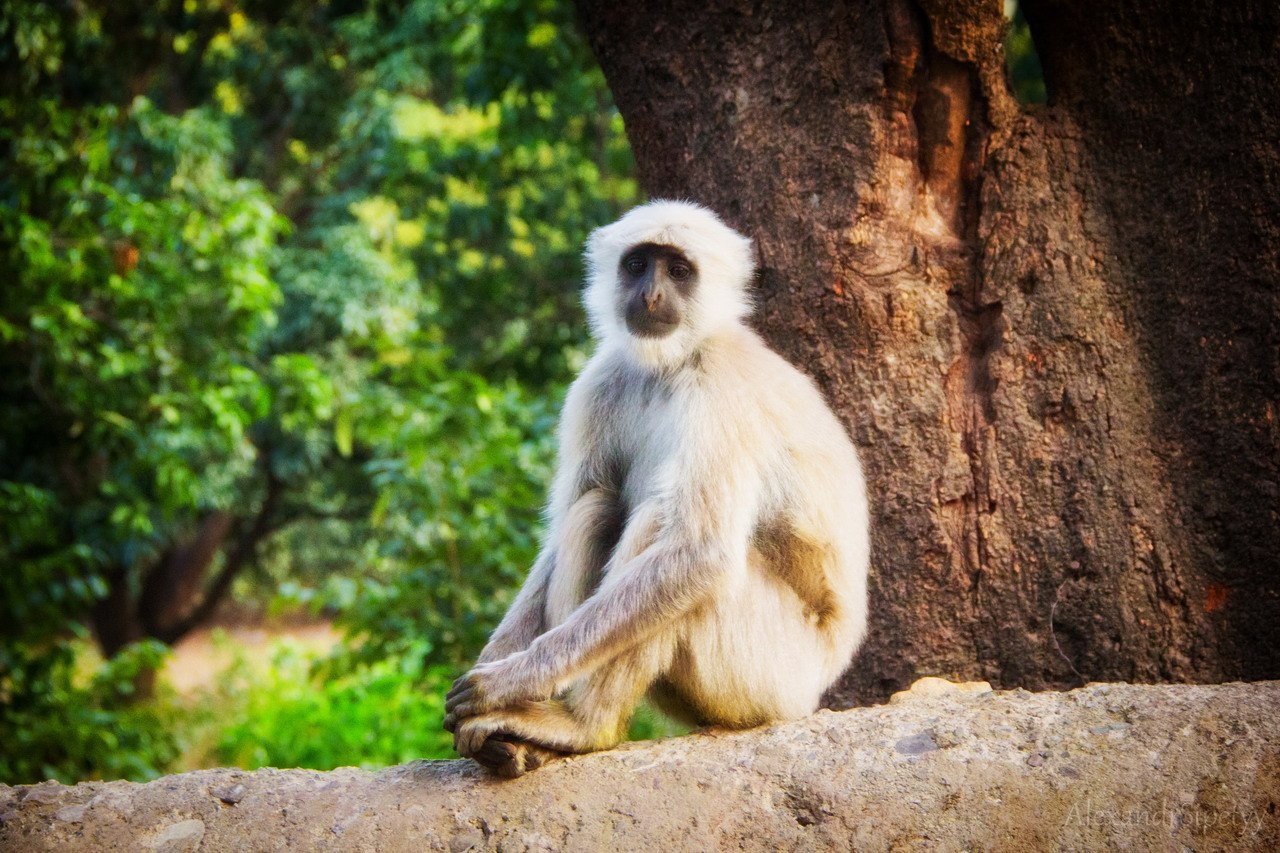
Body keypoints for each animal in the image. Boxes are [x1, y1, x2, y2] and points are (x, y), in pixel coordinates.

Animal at [442, 199, 870, 778]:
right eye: (639, 264)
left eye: (680, 270)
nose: (650, 295)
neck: (675, 361)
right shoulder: (600, 379)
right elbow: (562, 533)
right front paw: (493, 668)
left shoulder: (723, 388)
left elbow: (700, 555)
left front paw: (502, 683)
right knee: (595, 508)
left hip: (770, 676)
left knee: (670, 538)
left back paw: (584, 727)